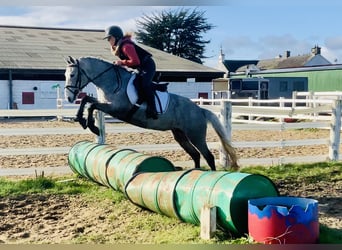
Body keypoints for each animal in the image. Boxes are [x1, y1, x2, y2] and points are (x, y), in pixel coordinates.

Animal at [63, 55, 238, 171]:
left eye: (72, 75)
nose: (69, 97)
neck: (111, 81)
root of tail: (200, 110)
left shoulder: (116, 108)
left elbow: (91, 105)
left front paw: (92, 127)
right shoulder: (107, 104)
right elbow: (87, 101)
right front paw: (81, 120)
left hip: (196, 135)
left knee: (208, 156)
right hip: (180, 134)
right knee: (195, 155)